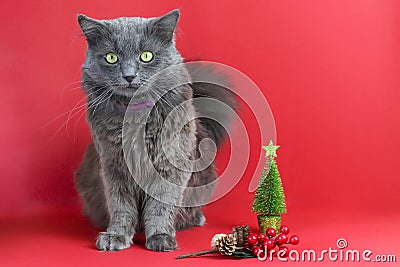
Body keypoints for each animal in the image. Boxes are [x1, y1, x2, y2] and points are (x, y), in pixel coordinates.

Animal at [74, 9, 236, 252]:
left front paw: (160, 237)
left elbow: (160, 206)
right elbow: (121, 206)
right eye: (111, 57)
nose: (129, 76)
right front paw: (116, 236)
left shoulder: (169, 166)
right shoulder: (113, 166)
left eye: (146, 56)